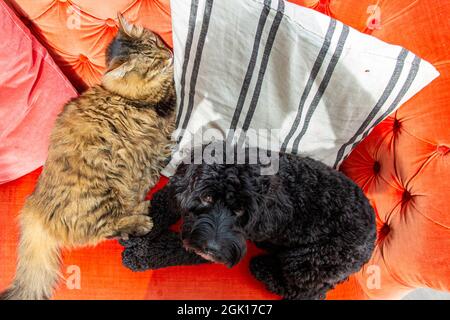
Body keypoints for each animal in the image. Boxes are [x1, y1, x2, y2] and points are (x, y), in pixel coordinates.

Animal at [0, 15, 176, 300]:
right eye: (151, 62)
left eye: (156, 43)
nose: (169, 54)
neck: (120, 93)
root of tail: (35, 207)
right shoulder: (164, 106)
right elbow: (170, 89)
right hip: (102, 195)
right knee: (106, 229)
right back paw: (143, 218)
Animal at [121, 145, 378, 300]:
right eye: (206, 198)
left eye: (239, 211)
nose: (212, 248)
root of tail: (373, 239)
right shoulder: (179, 190)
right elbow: (162, 205)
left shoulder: (221, 247)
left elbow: (173, 248)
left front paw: (140, 254)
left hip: (307, 261)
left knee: (304, 293)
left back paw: (263, 268)